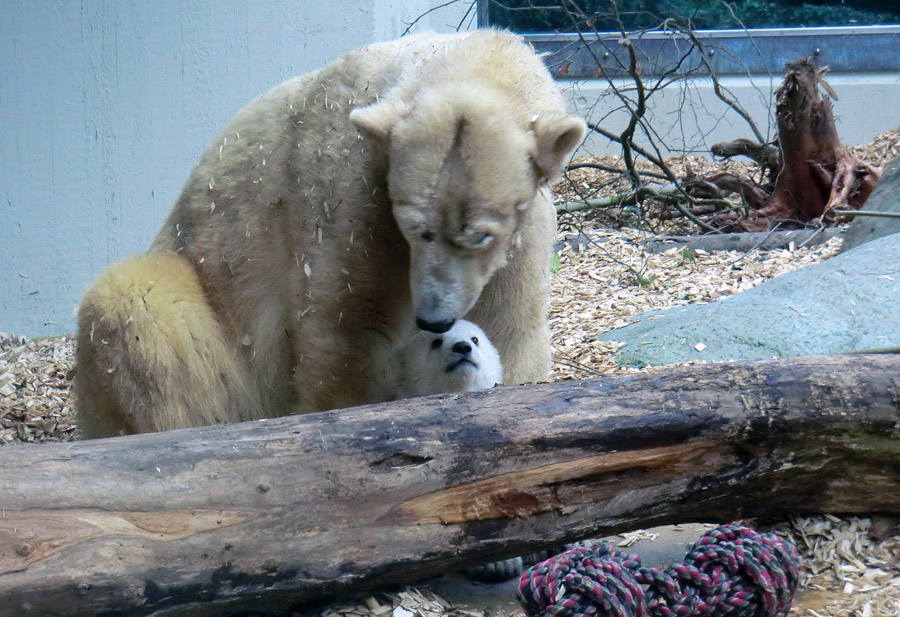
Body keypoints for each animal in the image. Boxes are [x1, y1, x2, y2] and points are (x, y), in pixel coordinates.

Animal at [75, 27, 584, 434]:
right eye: (414, 227)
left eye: (479, 234)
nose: (434, 318)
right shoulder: (351, 193)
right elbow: (347, 329)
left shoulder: (526, 226)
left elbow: (510, 322)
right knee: (138, 307)